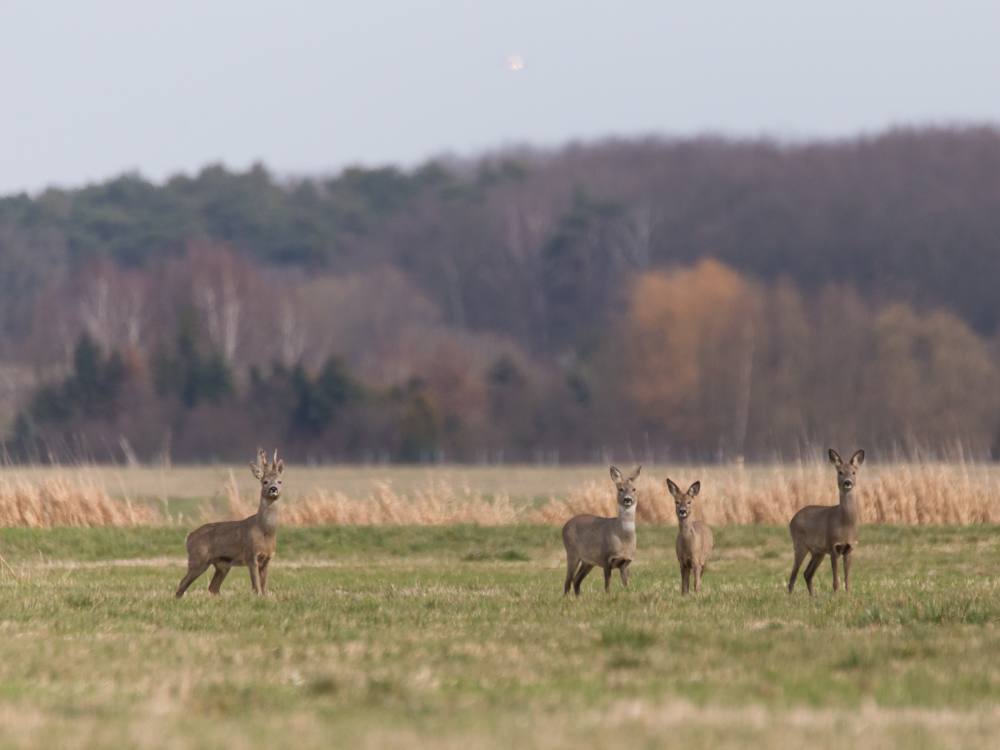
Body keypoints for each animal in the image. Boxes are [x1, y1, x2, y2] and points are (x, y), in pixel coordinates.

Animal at [176, 450, 284, 604]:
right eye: (265, 481)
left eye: (279, 481)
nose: (273, 489)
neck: (264, 532)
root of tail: (188, 537)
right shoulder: (250, 555)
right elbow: (256, 586)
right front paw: (257, 598)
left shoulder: (268, 558)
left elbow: (264, 587)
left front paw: (265, 598)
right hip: (198, 559)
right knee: (182, 584)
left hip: (223, 564)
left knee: (213, 587)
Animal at [564, 464, 640, 600]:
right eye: (620, 489)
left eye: (634, 489)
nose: (627, 499)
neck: (623, 540)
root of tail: (564, 526)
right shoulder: (606, 557)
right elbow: (607, 584)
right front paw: (608, 598)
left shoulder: (627, 561)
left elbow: (627, 586)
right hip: (572, 552)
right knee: (568, 580)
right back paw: (568, 599)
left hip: (588, 561)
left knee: (576, 579)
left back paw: (579, 598)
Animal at [792, 446, 864, 600]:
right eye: (840, 472)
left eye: (854, 472)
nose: (847, 482)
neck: (845, 525)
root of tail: (792, 518)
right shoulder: (833, 547)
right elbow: (836, 580)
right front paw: (836, 598)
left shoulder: (850, 548)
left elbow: (847, 580)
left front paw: (848, 597)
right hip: (800, 544)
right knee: (794, 573)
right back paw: (790, 597)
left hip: (818, 552)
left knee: (807, 573)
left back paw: (812, 597)